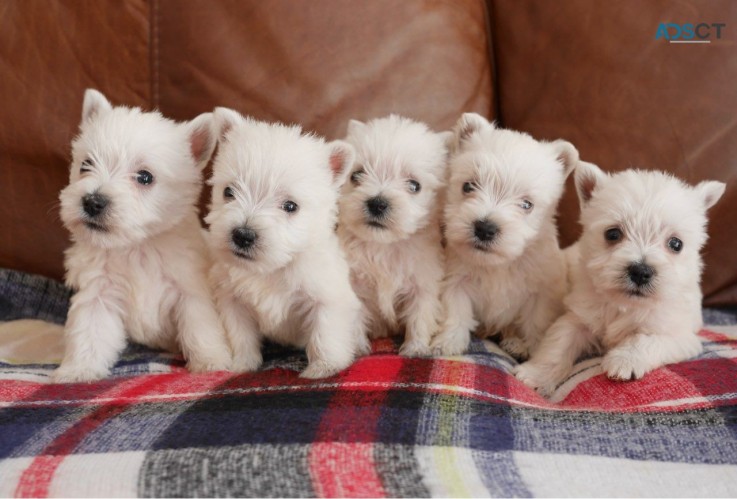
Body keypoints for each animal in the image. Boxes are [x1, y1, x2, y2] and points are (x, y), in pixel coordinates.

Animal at [55, 89, 231, 382]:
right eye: (86, 164)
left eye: (145, 177)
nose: (92, 202)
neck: (137, 246)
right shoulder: (98, 294)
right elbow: (89, 333)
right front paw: (78, 371)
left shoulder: (190, 293)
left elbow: (201, 329)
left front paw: (212, 362)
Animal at [204, 106, 366, 378]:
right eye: (228, 192)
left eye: (290, 206)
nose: (243, 235)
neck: (270, 269)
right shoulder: (232, 301)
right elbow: (241, 336)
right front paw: (243, 365)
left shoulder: (327, 298)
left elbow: (325, 334)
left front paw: (323, 368)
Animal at [338, 115, 452, 358]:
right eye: (356, 175)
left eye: (414, 185)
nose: (377, 203)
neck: (384, 246)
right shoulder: (354, 286)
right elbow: (355, 320)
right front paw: (359, 348)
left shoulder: (423, 285)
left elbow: (420, 317)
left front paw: (415, 349)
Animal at [428, 114, 576, 360]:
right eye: (468, 186)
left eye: (527, 204)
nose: (485, 228)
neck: (498, 264)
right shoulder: (456, 280)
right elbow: (456, 313)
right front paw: (448, 343)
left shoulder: (542, 291)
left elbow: (536, 321)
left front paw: (531, 348)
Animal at [516, 162, 728, 396]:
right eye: (612, 234)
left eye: (676, 244)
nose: (640, 271)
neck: (624, 304)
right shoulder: (578, 317)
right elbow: (558, 343)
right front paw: (535, 374)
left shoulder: (679, 335)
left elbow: (646, 339)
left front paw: (624, 361)